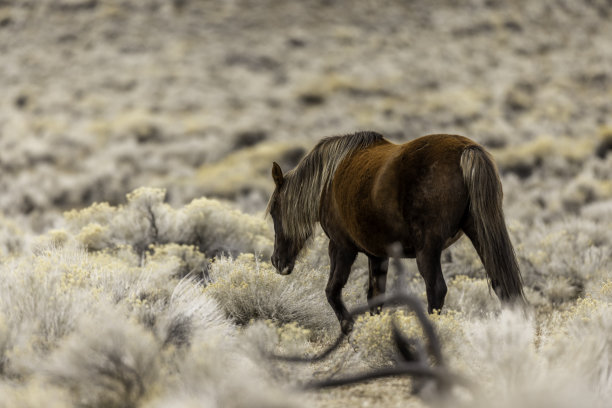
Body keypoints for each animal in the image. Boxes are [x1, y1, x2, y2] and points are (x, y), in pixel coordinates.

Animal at [268, 131, 524, 334]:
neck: (328, 181)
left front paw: (350, 333)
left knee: (436, 290)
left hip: (428, 250)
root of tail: (466, 150)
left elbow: (333, 291)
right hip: (479, 233)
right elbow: (375, 298)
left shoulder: (341, 248)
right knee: (502, 285)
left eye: (273, 211)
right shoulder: (377, 255)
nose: (277, 261)